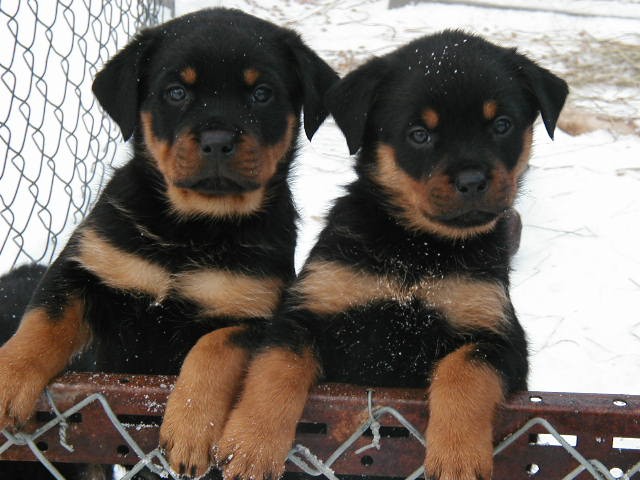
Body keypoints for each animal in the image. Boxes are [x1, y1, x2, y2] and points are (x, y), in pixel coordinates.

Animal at [0, 6, 340, 476]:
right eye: (176, 92)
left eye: (262, 94)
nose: (218, 141)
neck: (192, 229)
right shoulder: (82, 268)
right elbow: (41, 324)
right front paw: (8, 381)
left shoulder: (253, 315)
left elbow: (211, 347)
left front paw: (191, 430)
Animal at [218, 30, 568, 480]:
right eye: (419, 134)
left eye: (502, 125)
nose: (473, 180)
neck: (416, 249)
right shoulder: (303, 313)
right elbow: (275, 369)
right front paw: (250, 446)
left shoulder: (499, 336)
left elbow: (464, 371)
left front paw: (457, 457)